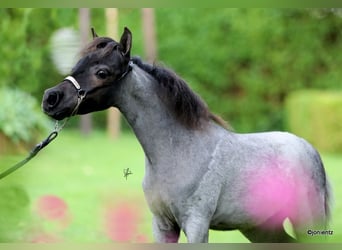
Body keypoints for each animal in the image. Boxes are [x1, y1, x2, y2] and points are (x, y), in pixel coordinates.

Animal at [42, 26, 332, 242]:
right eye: (77, 64)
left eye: (102, 72)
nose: (50, 99)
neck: (179, 151)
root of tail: (310, 150)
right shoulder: (162, 225)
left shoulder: (196, 224)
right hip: (260, 227)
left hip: (308, 222)